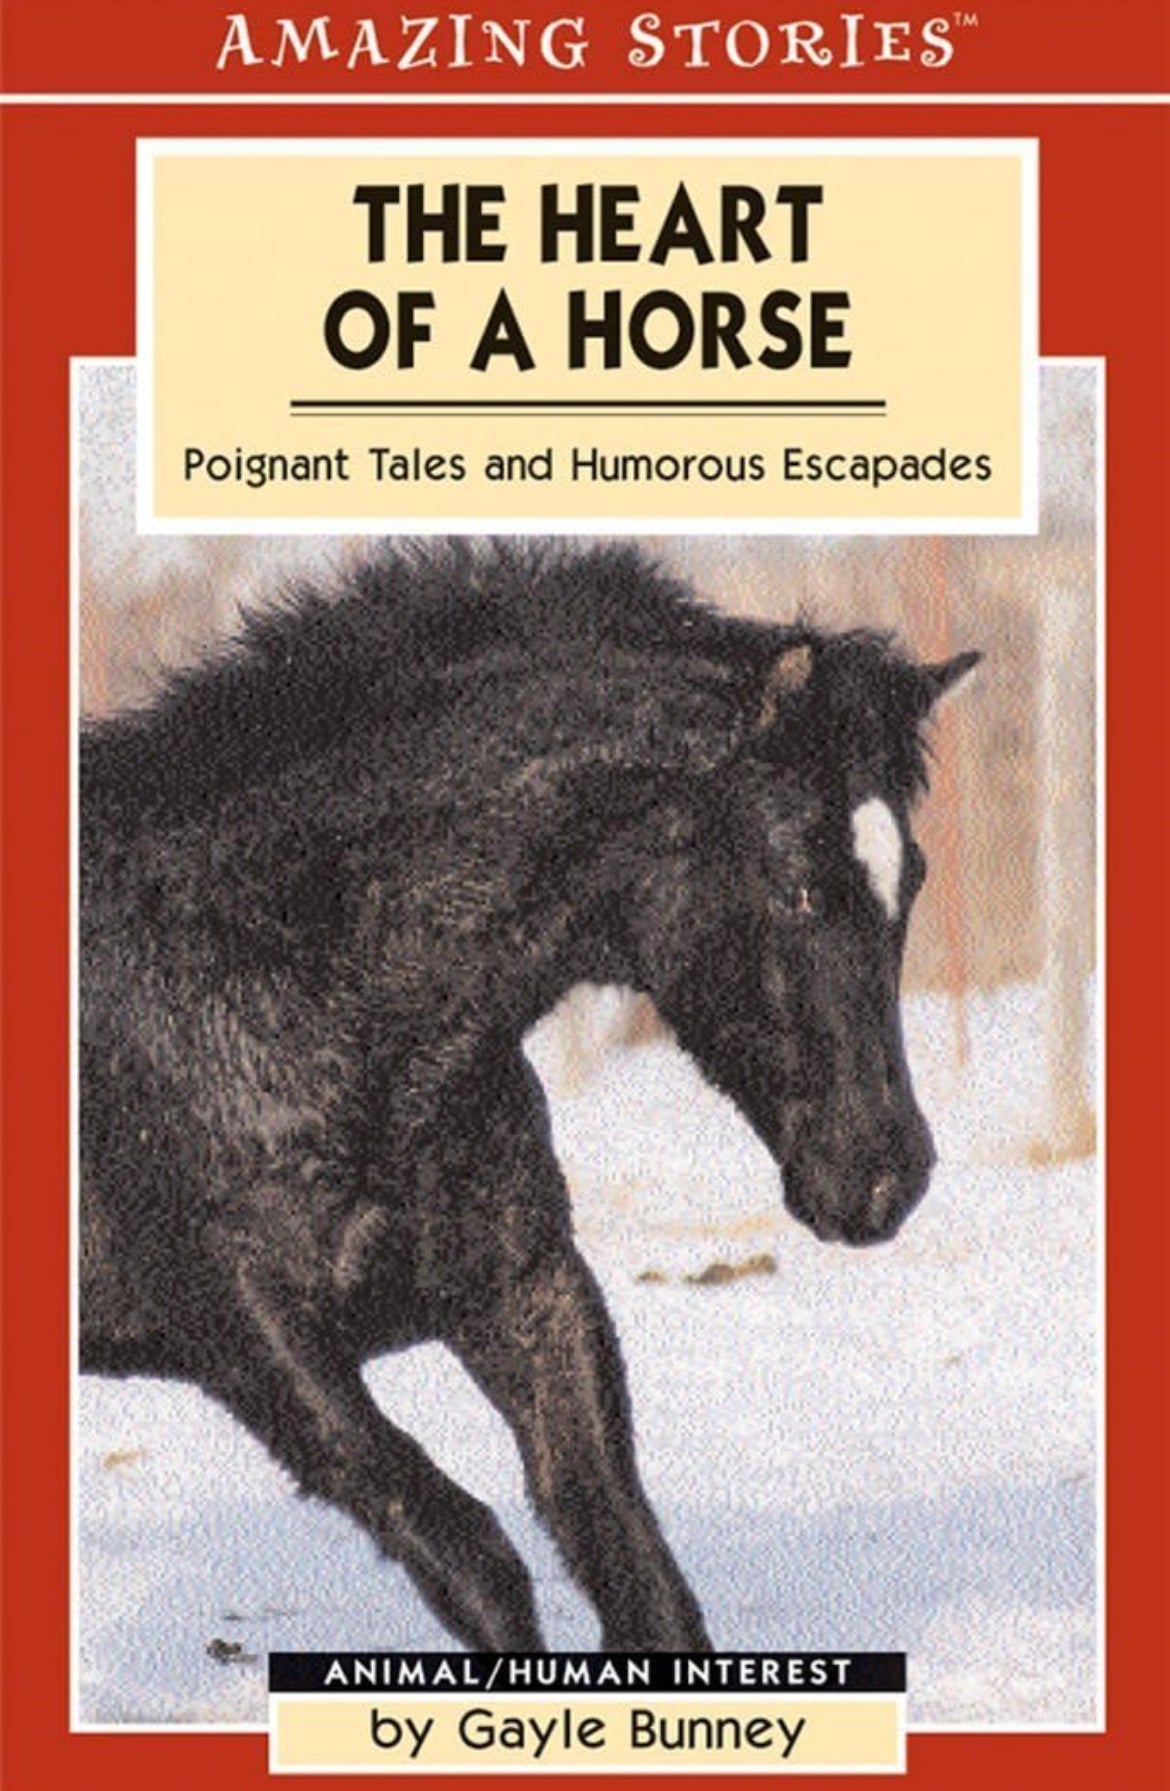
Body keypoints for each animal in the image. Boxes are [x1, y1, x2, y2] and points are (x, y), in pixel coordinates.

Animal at [79, 540, 977, 1652]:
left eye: (914, 877)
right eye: (800, 886)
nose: (886, 1175)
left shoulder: (524, 1293)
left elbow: (632, 1567)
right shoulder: (252, 1335)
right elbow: (471, 1556)